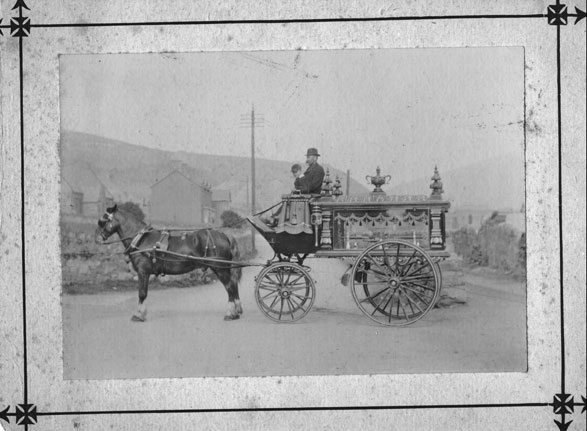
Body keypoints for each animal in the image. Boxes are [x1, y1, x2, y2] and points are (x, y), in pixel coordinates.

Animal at [97, 204, 242, 322]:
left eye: (103, 219)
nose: (99, 237)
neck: (141, 240)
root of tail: (225, 235)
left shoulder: (143, 271)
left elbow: (142, 293)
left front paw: (138, 315)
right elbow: (143, 293)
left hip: (220, 268)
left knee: (230, 287)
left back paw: (230, 313)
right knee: (233, 286)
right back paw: (236, 312)